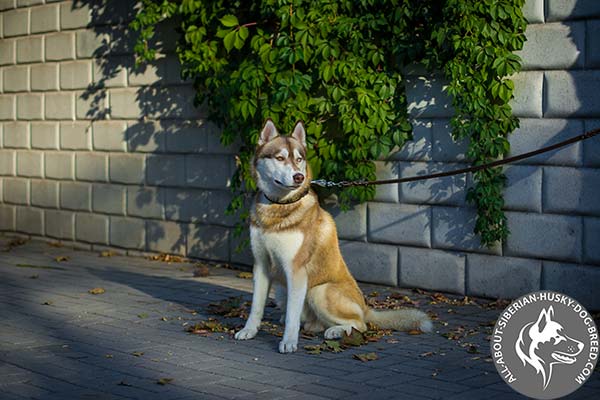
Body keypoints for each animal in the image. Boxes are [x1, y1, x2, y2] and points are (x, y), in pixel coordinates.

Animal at [234, 119, 432, 354]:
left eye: (299, 159)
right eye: (280, 158)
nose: (299, 177)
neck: (278, 209)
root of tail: (366, 307)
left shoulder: (296, 270)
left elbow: (292, 315)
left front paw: (289, 341)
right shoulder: (261, 265)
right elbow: (256, 306)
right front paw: (249, 330)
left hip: (319, 291)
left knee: (359, 324)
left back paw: (336, 331)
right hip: (283, 291)